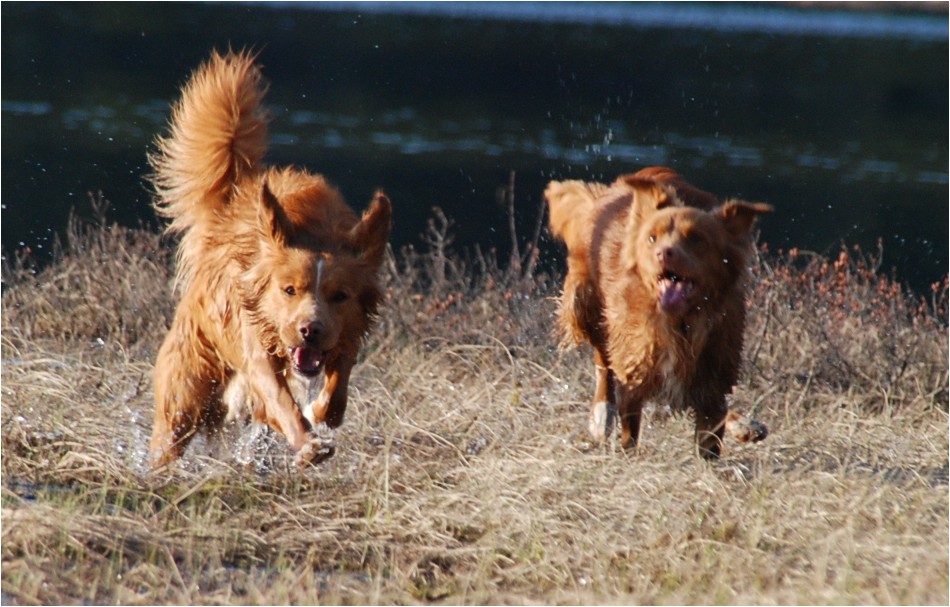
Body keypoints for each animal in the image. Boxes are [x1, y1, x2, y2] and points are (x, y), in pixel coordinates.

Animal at [148, 51, 390, 470]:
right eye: (289, 290)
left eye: (340, 296)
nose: (310, 330)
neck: (314, 230)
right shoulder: (257, 349)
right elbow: (281, 402)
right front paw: (308, 444)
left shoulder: (347, 335)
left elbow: (337, 387)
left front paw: (322, 411)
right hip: (184, 393)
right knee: (171, 431)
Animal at [552, 167, 772, 460]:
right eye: (651, 238)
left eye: (696, 238)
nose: (663, 253)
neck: (681, 323)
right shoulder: (633, 367)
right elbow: (629, 421)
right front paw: (627, 454)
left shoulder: (715, 370)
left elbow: (712, 428)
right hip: (585, 301)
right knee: (603, 360)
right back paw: (601, 414)